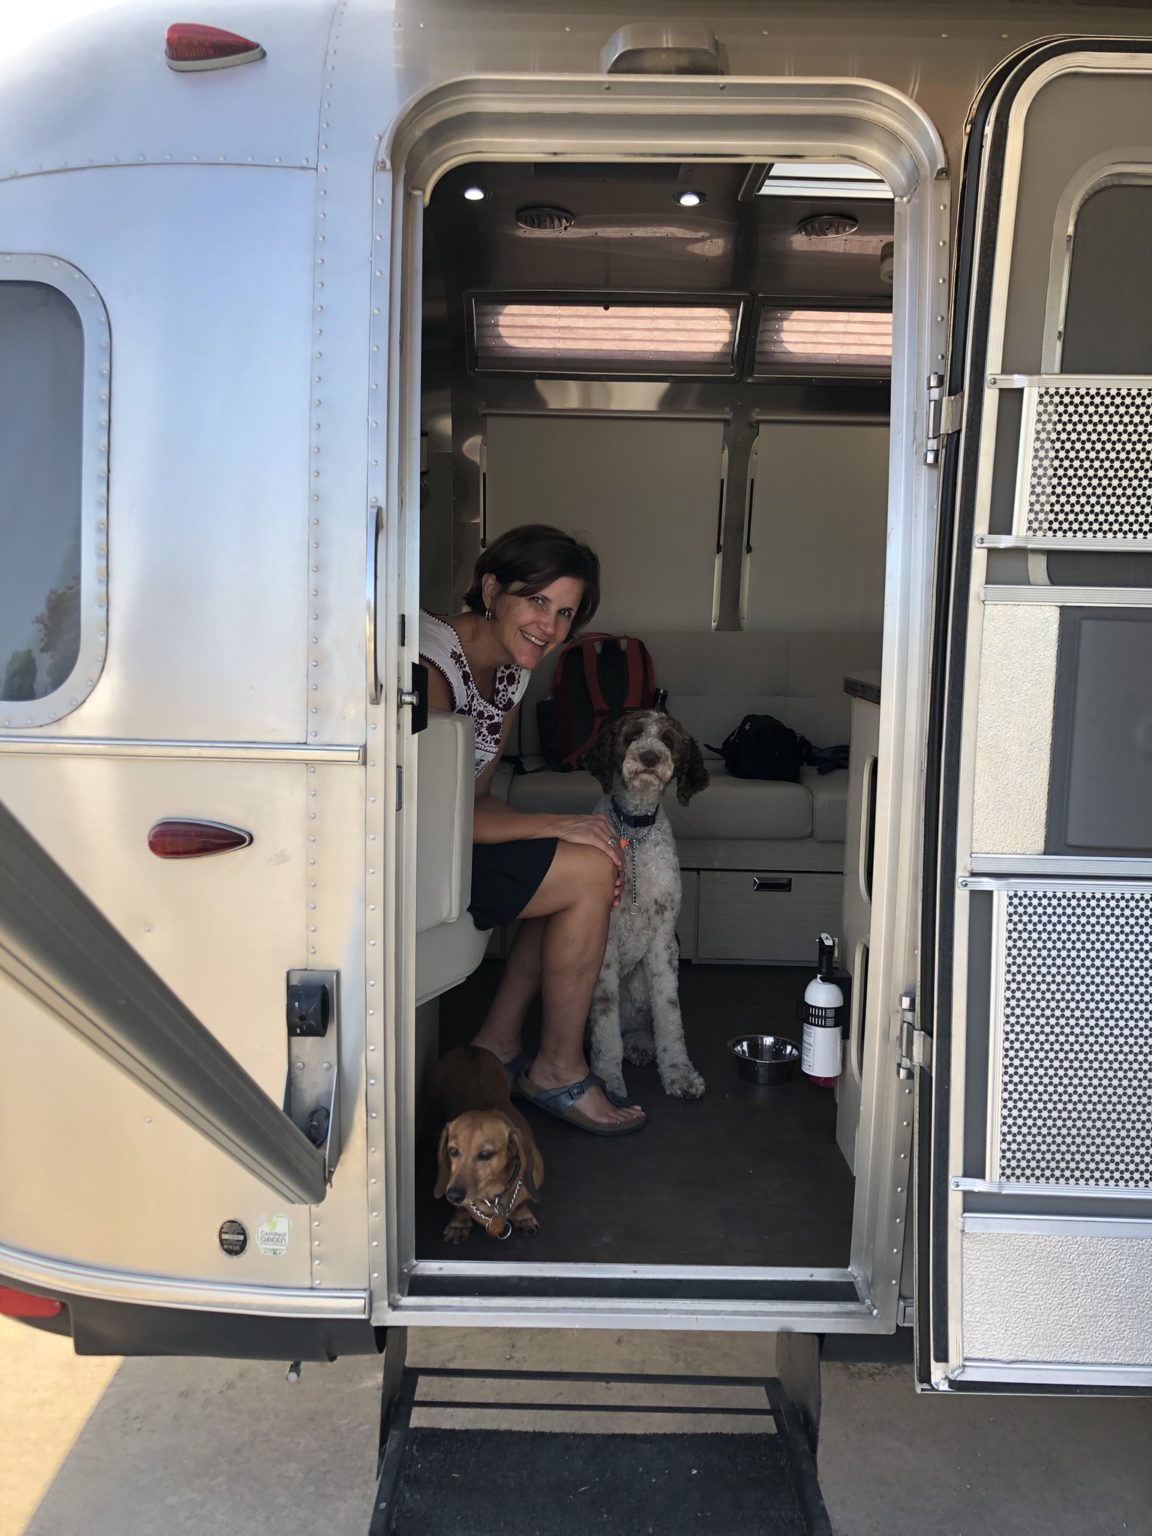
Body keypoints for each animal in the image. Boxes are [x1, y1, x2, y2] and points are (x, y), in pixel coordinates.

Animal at [429, 1045, 544, 1245]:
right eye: (452, 1151)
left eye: (485, 1155)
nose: (453, 1195)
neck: (491, 1196)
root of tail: (469, 1047)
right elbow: (462, 1209)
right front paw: (459, 1224)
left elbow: (522, 1202)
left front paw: (523, 1216)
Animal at [582, 710, 709, 1102]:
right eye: (633, 734)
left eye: (668, 739)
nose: (650, 757)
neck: (634, 832)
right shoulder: (605, 941)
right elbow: (605, 1019)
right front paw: (608, 1079)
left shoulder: (664, 941)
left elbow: (669, 1012)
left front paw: (679, 1073)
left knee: (638, 1023)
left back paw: (639, 1044)